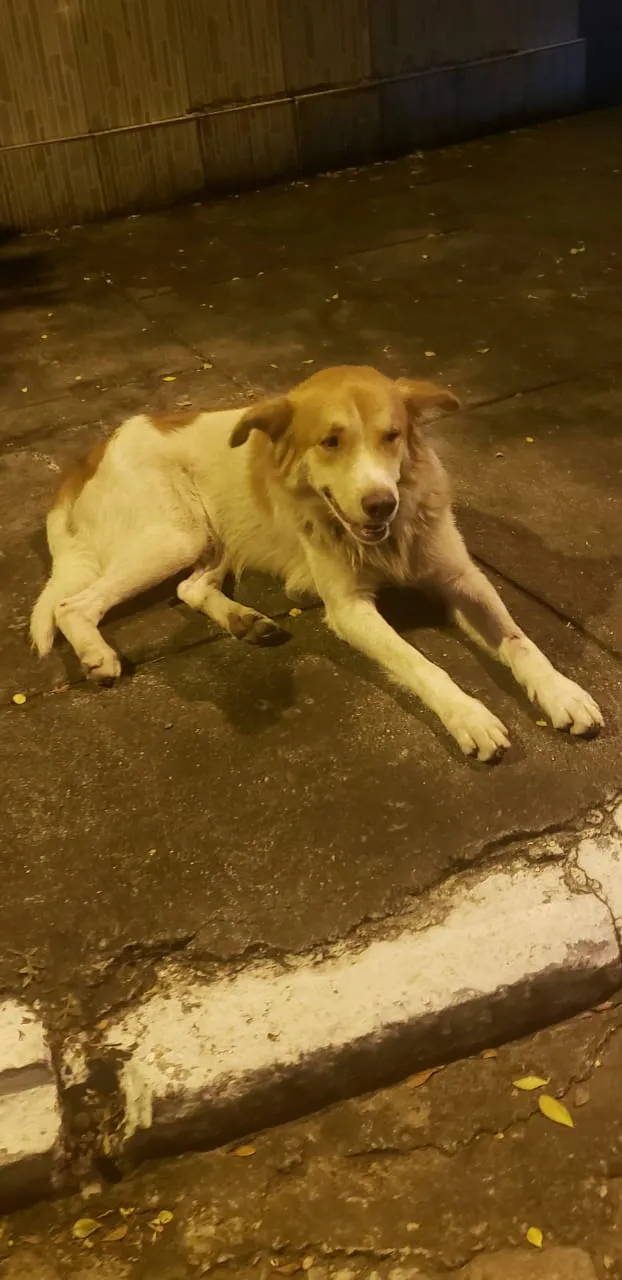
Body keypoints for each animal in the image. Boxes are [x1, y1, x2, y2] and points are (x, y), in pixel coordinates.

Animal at [30, 360, 601, 757]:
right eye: (330, 442)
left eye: (391, 436)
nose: (382, 503)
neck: (387, 541)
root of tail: (94, 450)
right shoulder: (349, 609)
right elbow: (421, 663)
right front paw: (468, 715)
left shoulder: (461, 577)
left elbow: (519, 640)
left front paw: (563, 693)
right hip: (176, 535)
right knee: (71, 606)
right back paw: (97, 655)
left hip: (214, 537)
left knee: (189, 587)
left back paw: (246, 622)